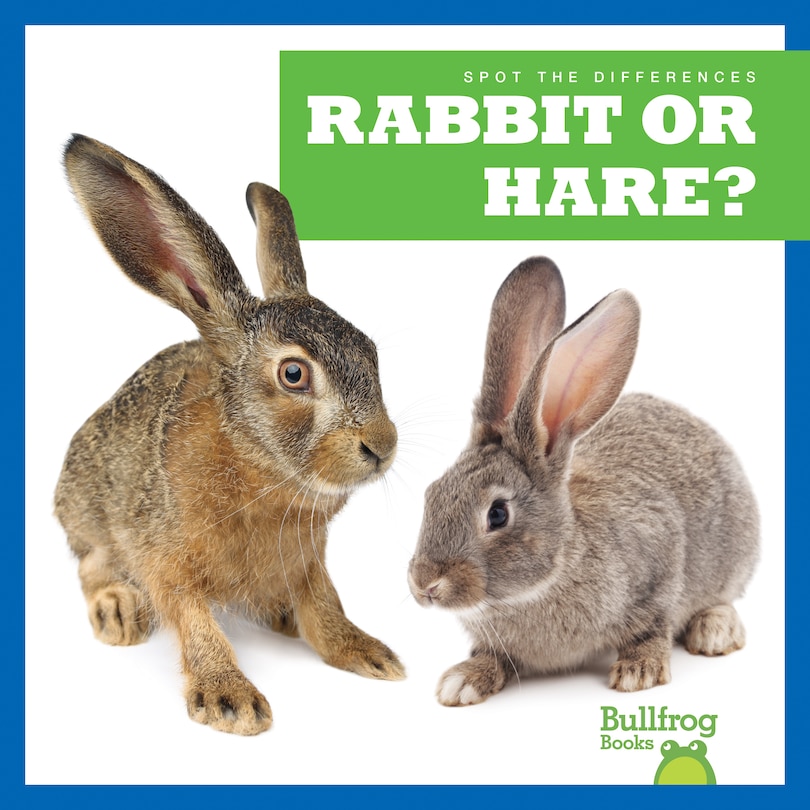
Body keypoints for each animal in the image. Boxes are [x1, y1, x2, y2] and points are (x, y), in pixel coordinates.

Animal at [54, 134, 405, 736]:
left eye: (371, 353)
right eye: (294, 374)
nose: (381, 446)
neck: (257, 471)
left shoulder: (309, 563)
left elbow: (326, 605)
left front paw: (367, 652)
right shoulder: (165, 561)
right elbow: (193, 620)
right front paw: (230, 700)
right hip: (91, 513)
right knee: (92, 564)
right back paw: (118, 611)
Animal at [408, 257, 759, 706]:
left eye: (498, 514)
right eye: (431, 494)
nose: (424, 585)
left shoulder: (658, 562)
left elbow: (654, 623)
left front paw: (639, 670)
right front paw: (463, 680)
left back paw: (714, 629)